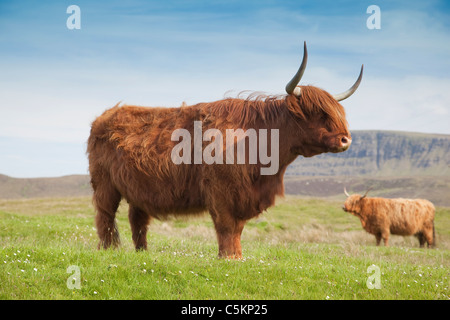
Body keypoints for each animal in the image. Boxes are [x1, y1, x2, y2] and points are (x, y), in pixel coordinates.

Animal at [87, 42, 362, 258]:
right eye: (317, 113)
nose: (345, 140)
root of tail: (106, 115)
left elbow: (237, 228)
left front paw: (237, 256)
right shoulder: (222, 190)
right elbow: (227, 226)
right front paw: (229, 257)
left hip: (138, 189)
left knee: (137, 220)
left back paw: (142, 252)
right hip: (104, 184)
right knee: (105, 216)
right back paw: (109, 249)